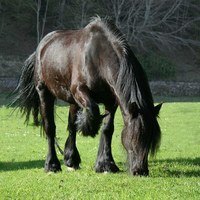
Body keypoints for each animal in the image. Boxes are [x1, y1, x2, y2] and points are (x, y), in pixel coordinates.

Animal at [13, 17, 162, 177]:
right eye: (135, 137)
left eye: (151, 140)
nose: (140, 171)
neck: (98, 58)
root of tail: (41, 46)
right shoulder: (80, 90)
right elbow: (93, 110)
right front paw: (87, 127)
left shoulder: (111, 101)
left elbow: (107, 129)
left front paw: (105, 164)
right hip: (45, 93)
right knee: (50, 128)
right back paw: (52, 165)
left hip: (72, 101)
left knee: (71, 126)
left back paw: (71, 159)